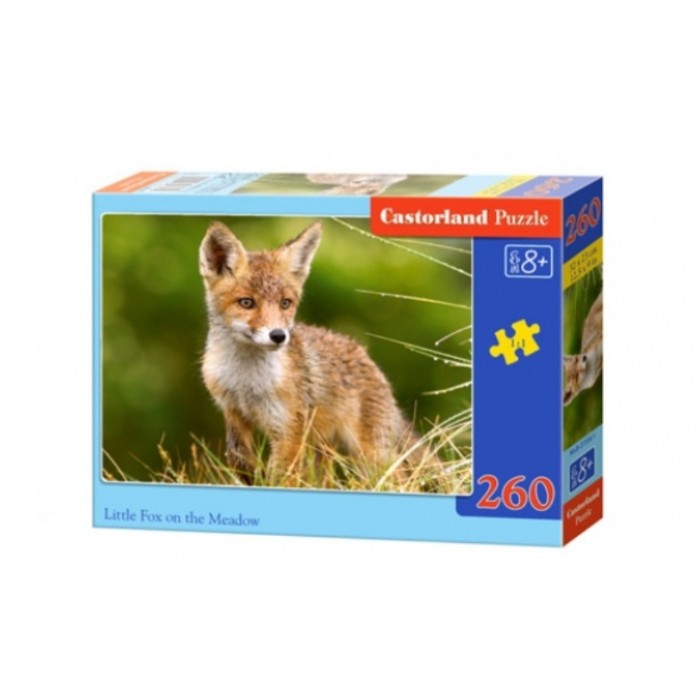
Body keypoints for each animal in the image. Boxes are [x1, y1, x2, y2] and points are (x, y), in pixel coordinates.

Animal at [199, 220, 419, 485]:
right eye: (246, 303)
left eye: (285, 303)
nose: (278, 336)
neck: (247, 382)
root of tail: (364, 354)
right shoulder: (233, 413)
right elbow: (240, 461)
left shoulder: (289, 429)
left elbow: (281, 478)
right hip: (323, 449)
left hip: (368, 452)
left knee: (400, 477)